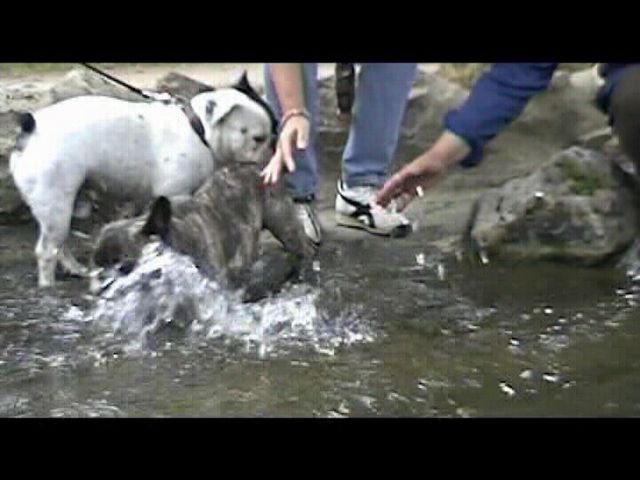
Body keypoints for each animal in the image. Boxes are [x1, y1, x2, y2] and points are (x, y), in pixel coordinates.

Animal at [10, 74, 276, 288]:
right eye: (257, 138)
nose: (272, 150)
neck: (198, 130)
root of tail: (31, 130)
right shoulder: (176, 192)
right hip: (55, 199)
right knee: (47, 250)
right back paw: (48, 285)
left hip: (63, 205)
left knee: (60, 242)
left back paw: (75, 269)